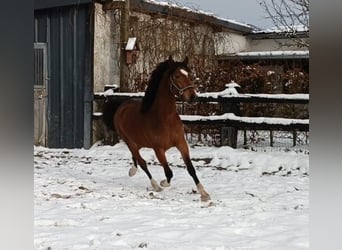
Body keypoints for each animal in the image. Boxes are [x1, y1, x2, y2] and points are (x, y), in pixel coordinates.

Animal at [104, 55, 211, 202]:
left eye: (190, 74)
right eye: (177, 76)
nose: (192, 97)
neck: (166, 118)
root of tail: (121, 107)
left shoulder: (182, 144)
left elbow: (191, 168)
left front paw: (204, 193)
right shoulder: (158, 149)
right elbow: (169, 172)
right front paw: (163, 183)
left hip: (138, 142)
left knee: (135, 158)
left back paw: (132, 171)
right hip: (129, 141)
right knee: (142, 162)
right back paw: (155, 185)